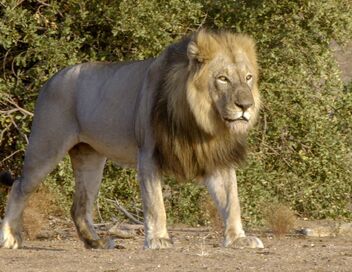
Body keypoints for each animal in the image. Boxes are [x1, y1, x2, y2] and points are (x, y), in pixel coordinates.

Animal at [0, 29, 262, 249]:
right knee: (19, 187)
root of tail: (51, 79)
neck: (202, 122)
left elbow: (231, 200)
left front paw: (239, 239)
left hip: (90, 159)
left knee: (79, 205)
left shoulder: (217, 156)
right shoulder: (148, 154)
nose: (245, 106)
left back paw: (94, 242)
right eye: (223, 78)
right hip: (46, 147)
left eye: (248, 77)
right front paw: (158, 240)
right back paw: (10, 238)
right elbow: (156, 204)